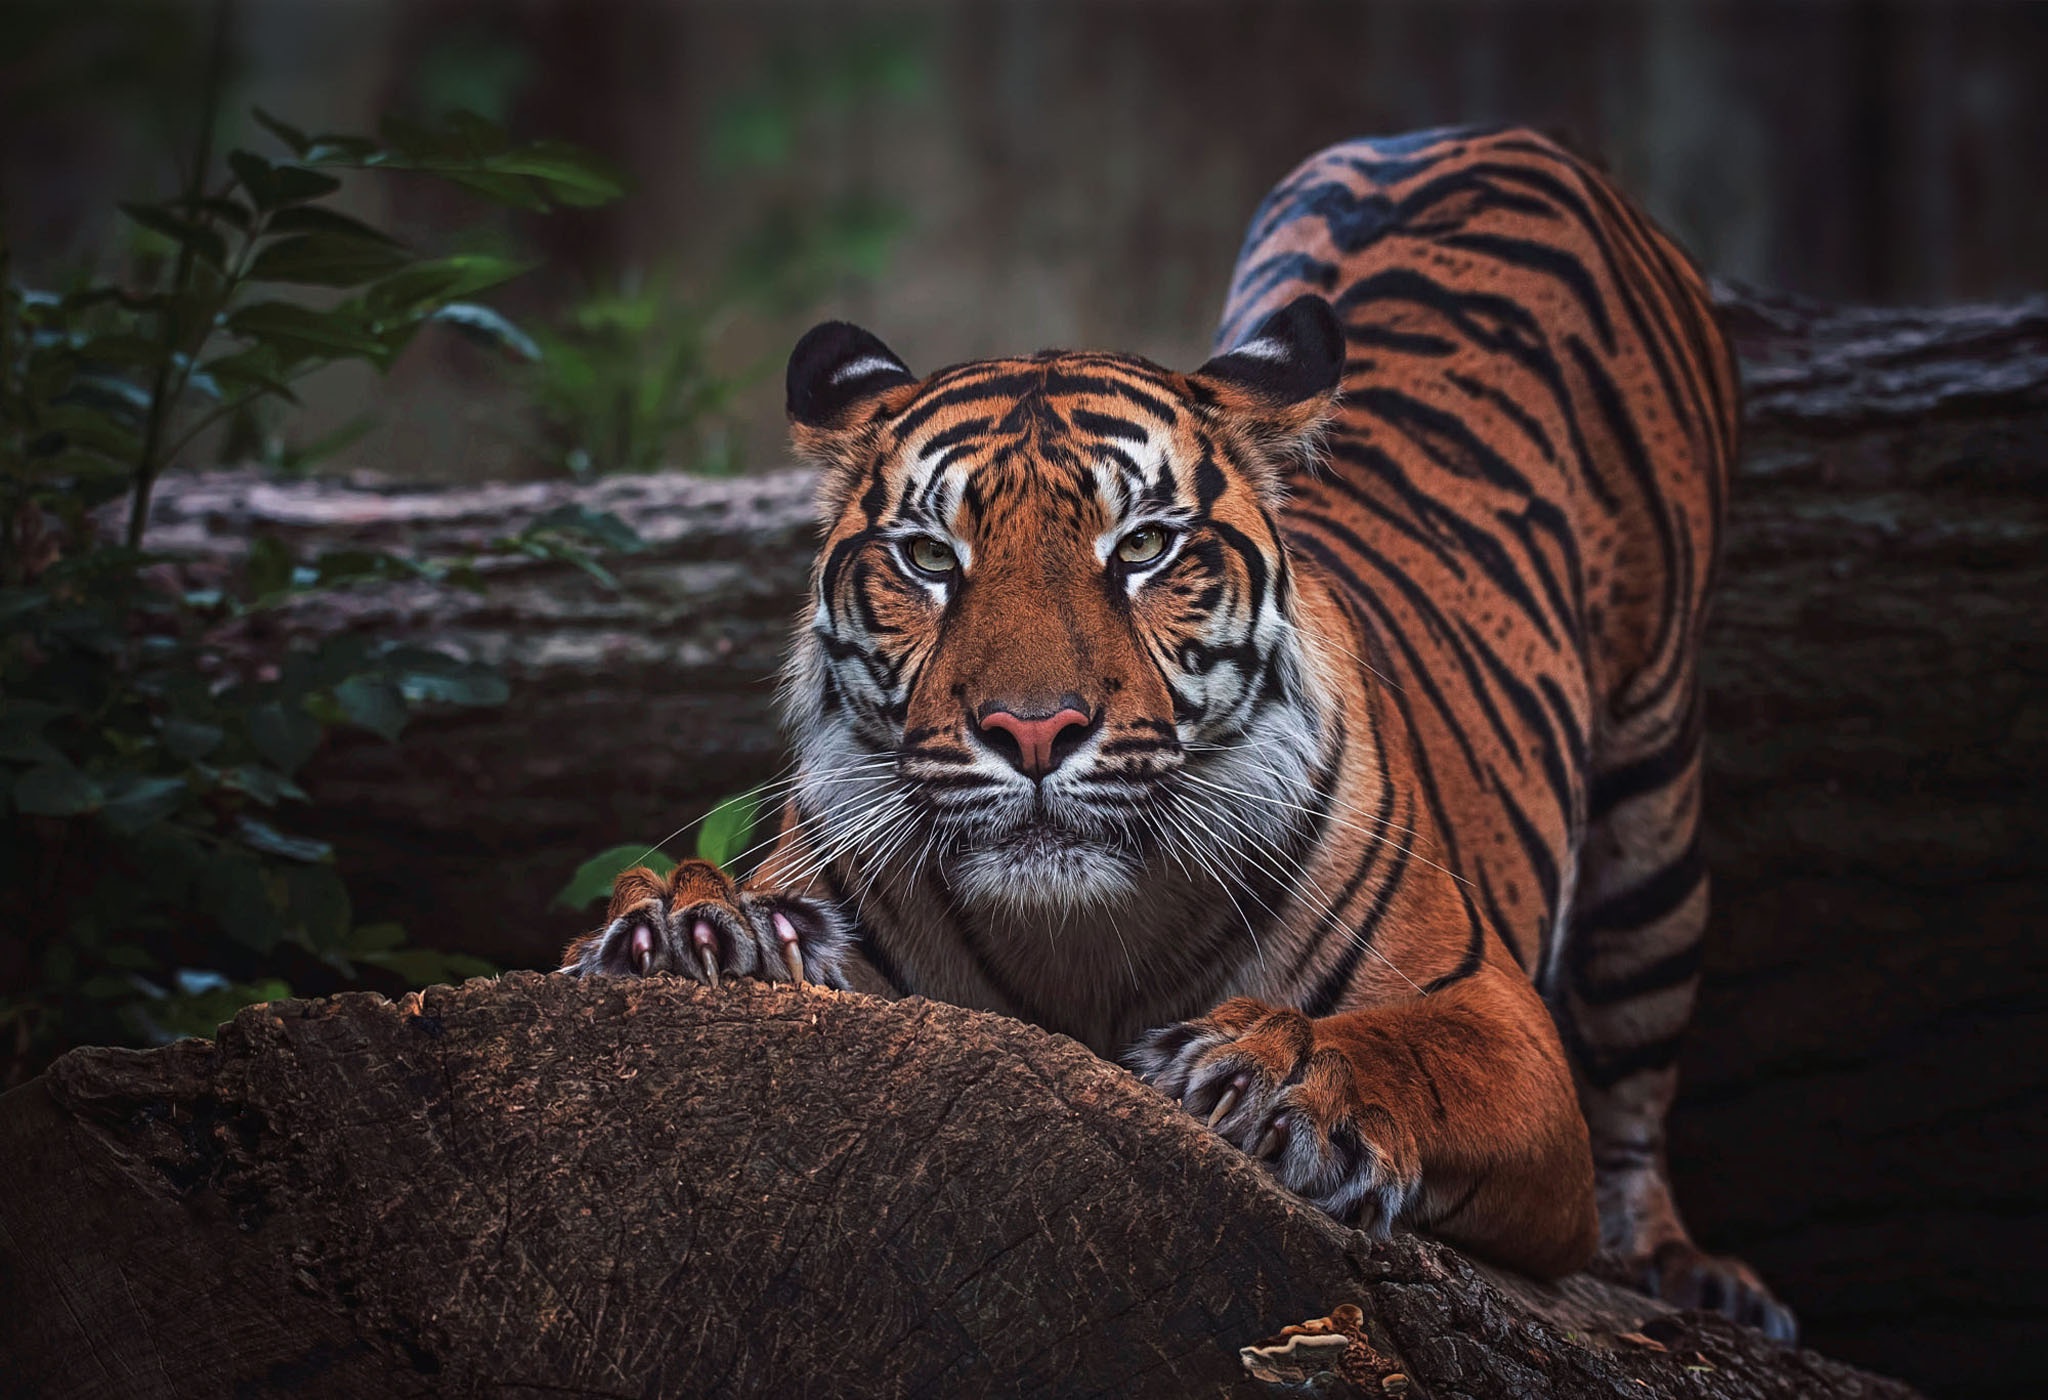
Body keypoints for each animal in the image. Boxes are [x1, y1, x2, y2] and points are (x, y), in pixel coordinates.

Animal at [561, 122, 1794, 1334]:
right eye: (928, 557)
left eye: (1145, 546)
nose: (1033, 729)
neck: (1077, 940)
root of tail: (1473, 131)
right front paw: (690, 927)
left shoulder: (1501, 1022)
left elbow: (1413, 1048)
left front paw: (1288, 1070)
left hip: (1652, 803)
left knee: (1637, 1075)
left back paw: (1690, 1273)